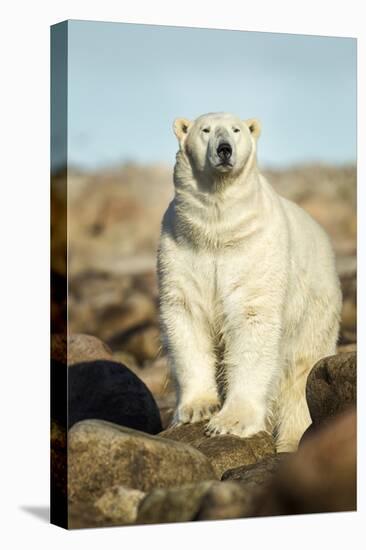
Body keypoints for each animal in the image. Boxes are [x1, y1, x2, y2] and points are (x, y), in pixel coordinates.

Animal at [158, 112, 344, 452]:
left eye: (236, 129)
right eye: (206, 130)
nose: (224, 149)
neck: (218, 229)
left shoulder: (256, 253)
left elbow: (251, 320)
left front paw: (231, 423)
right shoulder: (180, 250)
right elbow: (187, 315)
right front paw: (197, 409)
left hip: (315, 309)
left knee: (300, 373)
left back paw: (291, 441)